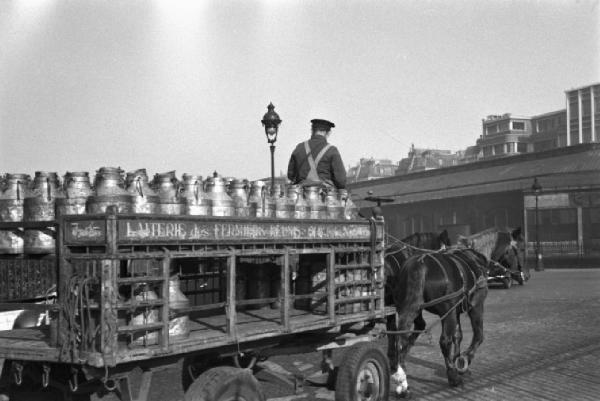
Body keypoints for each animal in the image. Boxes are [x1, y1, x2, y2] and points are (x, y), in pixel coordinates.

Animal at [386, 234, 490, 394]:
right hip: (447, 311)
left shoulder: (454, 311)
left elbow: (458, 336)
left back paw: (400, 375)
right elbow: (478, 336)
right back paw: (453, 378)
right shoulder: (475, 306)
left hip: (410, 307)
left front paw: (457, 360)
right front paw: (464, 360)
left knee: (400, 335)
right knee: (444, 341)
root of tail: (419, 264)